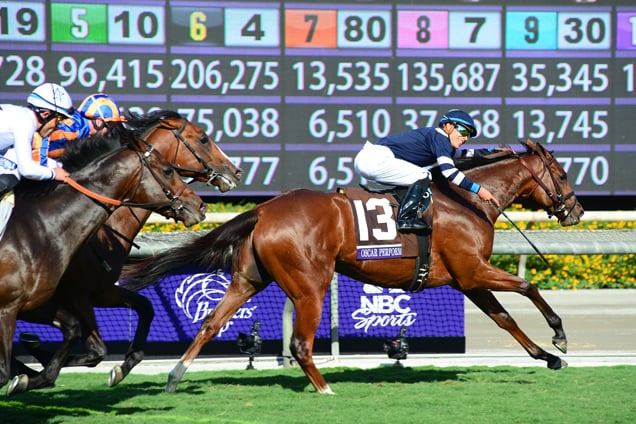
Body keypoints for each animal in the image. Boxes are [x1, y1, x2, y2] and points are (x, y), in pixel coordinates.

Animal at [13, 110, 241, 394]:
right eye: (203, 138)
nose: (235, 171)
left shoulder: (101, 290)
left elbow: (145, 308)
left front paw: (122, 367)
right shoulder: (75, 293)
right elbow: (95, 350)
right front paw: (35, 363)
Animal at [121, 140, 584, 394]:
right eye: (561, 174)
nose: (576, 211)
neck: (467, 201)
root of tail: (265, 209)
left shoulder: (466, 278)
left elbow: (505, 318)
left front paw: (547, 357)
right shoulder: (473, 271)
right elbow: (528, 287)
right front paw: (560, 337)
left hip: (248, 278)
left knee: (210, 323)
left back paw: (174, 376)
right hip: (310, 283)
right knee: (300, 344)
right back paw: (325, 388)